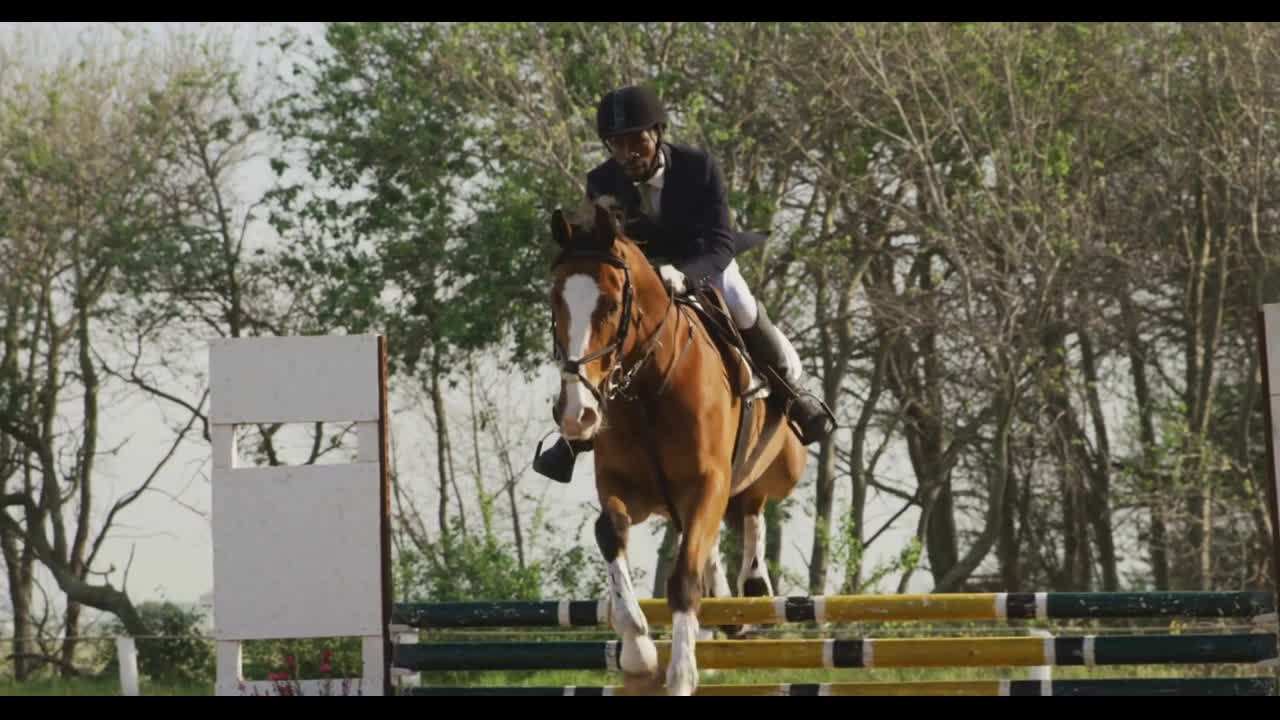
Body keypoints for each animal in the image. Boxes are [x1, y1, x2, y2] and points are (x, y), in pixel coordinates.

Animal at [545, 197, 803, 696]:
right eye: (555, 303)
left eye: (611, 305)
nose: (576, 414)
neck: (648, 387)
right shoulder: (623, 487)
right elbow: (610, 533)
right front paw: (638, 653)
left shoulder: (706, 482)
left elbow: (683, 579)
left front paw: (681, 673)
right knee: (716, 534)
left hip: (782, 465)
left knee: (754, 503)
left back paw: (754, 583)